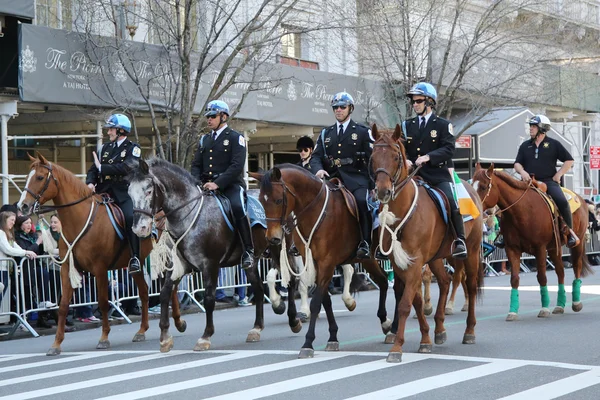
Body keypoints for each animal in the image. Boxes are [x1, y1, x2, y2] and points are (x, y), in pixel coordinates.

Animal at [17, 154, 185, 356]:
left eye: (40, 177)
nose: (22, 206)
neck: (79, 219)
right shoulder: (67, 268)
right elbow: (63, 305)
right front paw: (56, 344)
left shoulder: (100, 269)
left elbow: (104, 302)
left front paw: (104, 338)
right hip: (137, 264)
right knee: (145, 292)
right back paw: (142, 330)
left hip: (166, 257)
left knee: (171, 288)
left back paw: (179, 322)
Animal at [127, 158, 304, 352]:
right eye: (129, 193)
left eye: (149, 191)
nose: (139, 228)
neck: (189, 216)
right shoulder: (177, 266)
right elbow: (165, 294)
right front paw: (165, 337)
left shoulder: (210, 265)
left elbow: (209, 299)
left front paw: (205, 337)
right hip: (252, 260)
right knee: (258, 288)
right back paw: (257, 328)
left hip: (278, 248)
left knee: (291, 280)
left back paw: (293, 319)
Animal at [248, 164, 398, 358]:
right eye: (261, 200)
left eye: (279, 200)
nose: (272, 238)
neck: (316, 212)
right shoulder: (313, 262)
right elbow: (324, 300)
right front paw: (332, 337)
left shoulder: (326, 262)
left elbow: (315, 302)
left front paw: (307, 343)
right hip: (368, 259)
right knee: (383, 281)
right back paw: (386, 324)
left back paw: (394, 327)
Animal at [368, 124, 486, 362]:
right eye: (372, 157)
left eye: (396, 157)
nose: (383, 191)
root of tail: (470, 188)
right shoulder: (401, 263)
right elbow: (416, 301)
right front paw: (425, 339)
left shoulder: (415, 261)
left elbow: (405, 304)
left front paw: (397, 348)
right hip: (436, 257)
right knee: (445, 281)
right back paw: (440, 329)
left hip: (470, 251)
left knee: (469, 285)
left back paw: (469, 331)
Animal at [472, 162, 592, 318]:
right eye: (471, 183)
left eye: (483, 186)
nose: (473, 208)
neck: (522, 211)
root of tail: (580, 198)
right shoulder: (512, 249)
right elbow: (514, 279)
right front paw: (513, 311)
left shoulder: (540, 248)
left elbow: (542, 277)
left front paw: (544, 308)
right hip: (554, 248)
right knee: (560, 272)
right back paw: (560, 305)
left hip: (577, 243)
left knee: (576, 267)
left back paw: (576, 302)